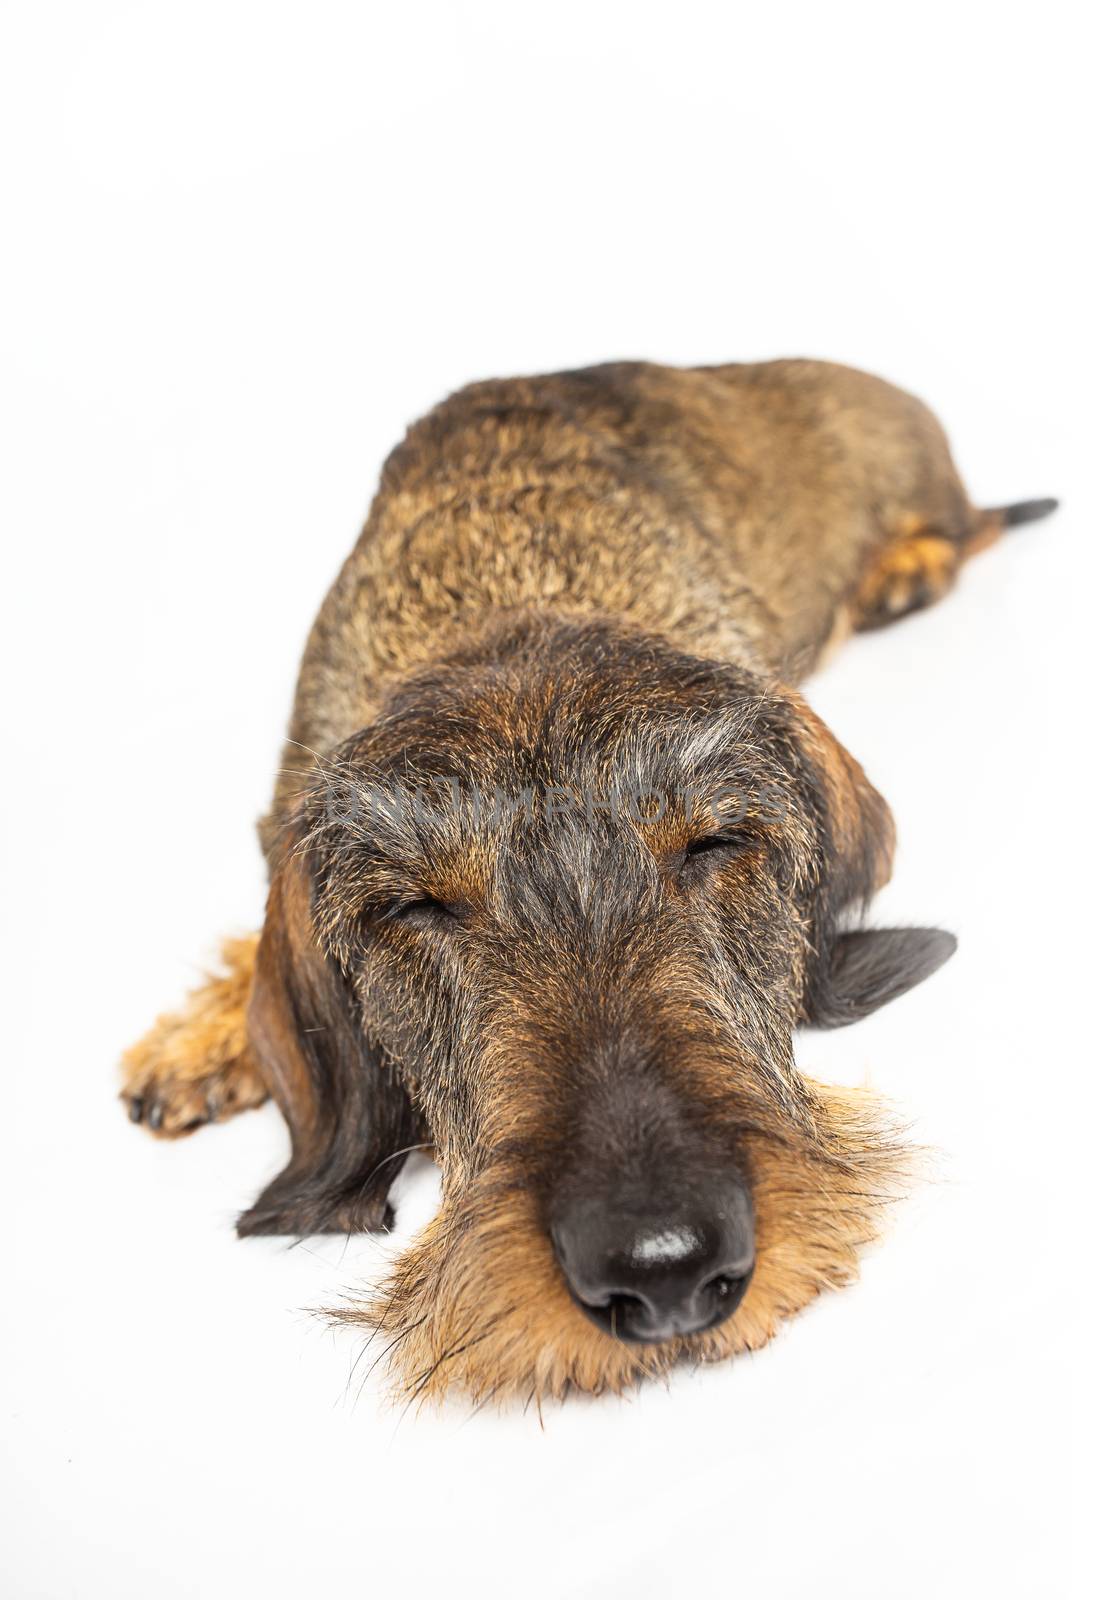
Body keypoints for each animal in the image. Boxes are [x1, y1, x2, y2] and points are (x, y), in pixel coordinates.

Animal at [120, 360, 1056, 1401]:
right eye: (415, 906)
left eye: (712, 844)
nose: (666, 1269)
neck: (507, 585)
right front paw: (202, 1038)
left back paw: (906, 567)